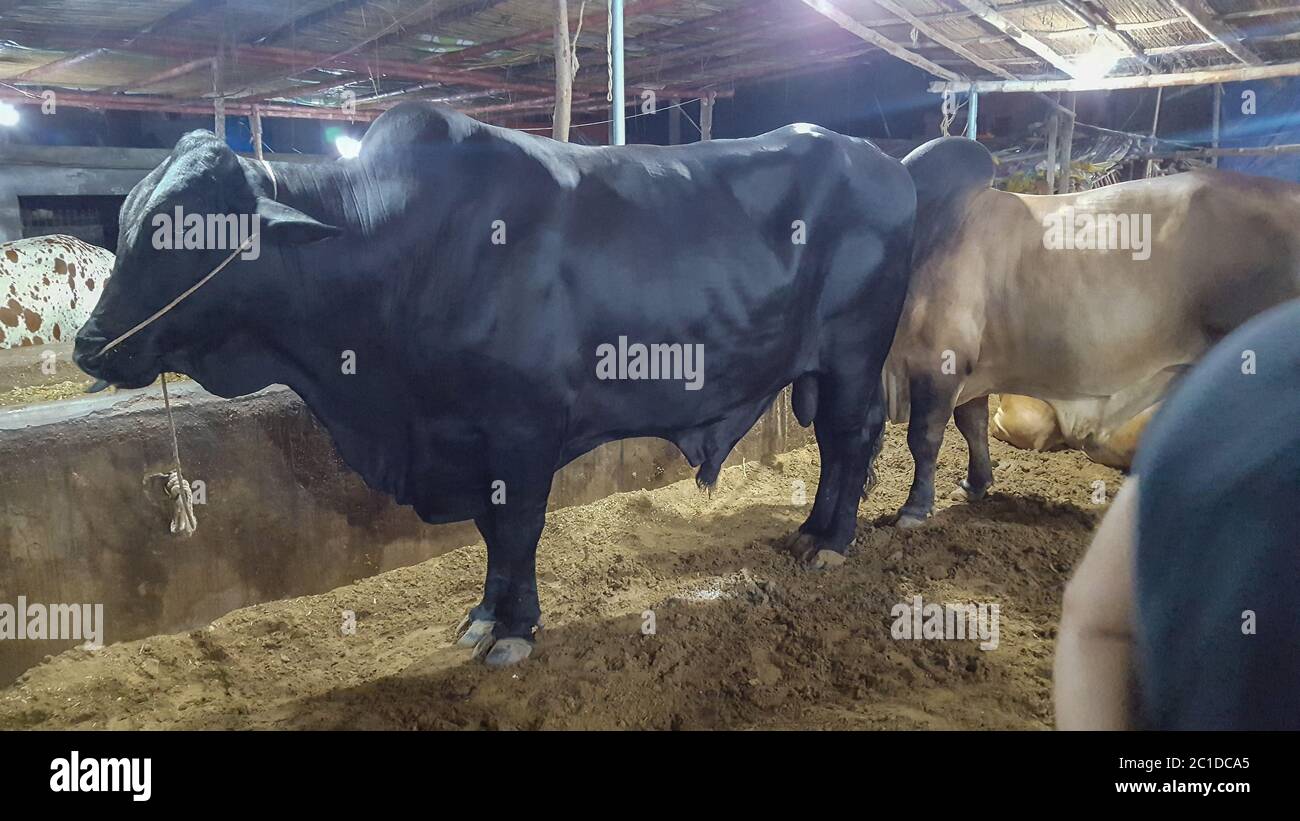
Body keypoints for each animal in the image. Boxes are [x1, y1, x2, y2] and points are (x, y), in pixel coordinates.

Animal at [78, 102, 915, 665]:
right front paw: (485, 615)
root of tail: (878, 160)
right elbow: (489, 532)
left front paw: (515, 630)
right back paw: (810, 530)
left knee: (851, 438)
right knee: (842, 443)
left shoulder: (522, 429)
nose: (88, 345)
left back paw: (831, 540)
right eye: (127, 220)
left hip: (852, 355)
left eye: (185, 230)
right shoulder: (467, 437)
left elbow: (516, 528)